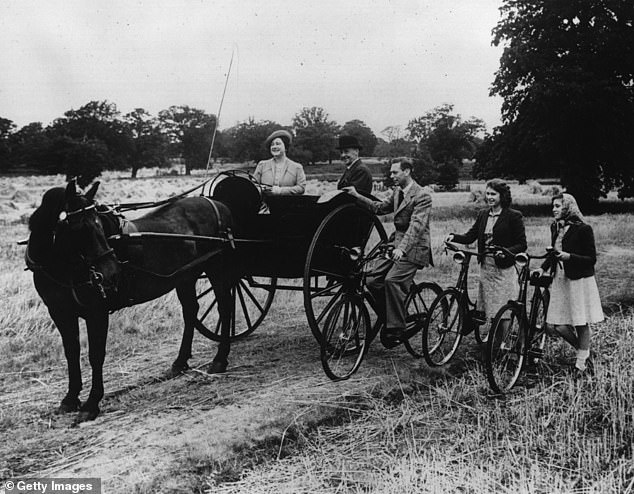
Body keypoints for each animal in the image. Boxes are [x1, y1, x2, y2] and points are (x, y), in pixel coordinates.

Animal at [25, 179, 238, 422]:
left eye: (99, 224)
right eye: (81, 228)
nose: (111, 273)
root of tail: (218, 204)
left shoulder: (96, 312)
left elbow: (95, 355)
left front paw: (91, 402)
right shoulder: (60, 313)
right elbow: (71, 354)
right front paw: (70, 398)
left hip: (216, 268)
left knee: (225, 306)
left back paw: (220, 359)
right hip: (185, 277)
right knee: (191, 311)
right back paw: (180, 362)